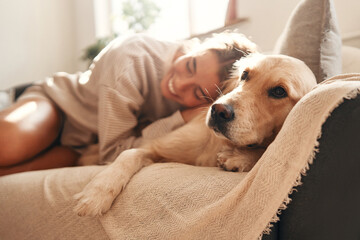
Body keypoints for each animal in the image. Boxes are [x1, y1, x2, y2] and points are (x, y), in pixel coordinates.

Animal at [74, 53, 316, 217]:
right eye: (245, 75)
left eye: (279, 91)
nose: (218, 111)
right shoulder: (153, 147)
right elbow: (127, 155)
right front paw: (96, 194)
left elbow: (266, 149)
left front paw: (239, 158)